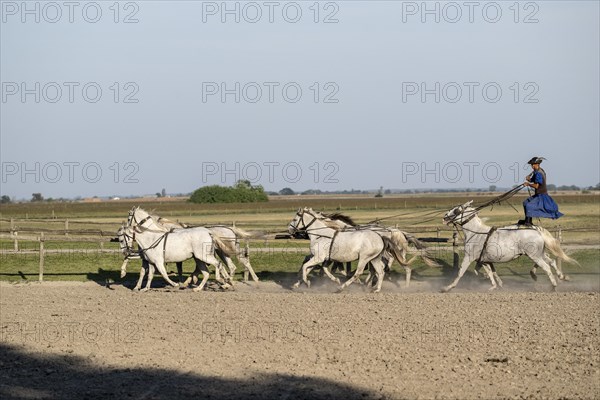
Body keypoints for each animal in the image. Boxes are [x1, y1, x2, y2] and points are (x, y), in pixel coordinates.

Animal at [440, 202, 576, 292]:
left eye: (456, 210)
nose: (445, 217)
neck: (476, 233)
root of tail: (535, 229)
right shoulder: (484, 260)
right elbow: (491, 273)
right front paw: (494, 286)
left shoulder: (469, 257)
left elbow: (460, 272)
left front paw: (447, 287)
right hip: (539, 254)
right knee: (551, 261)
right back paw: (561, 277)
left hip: (534, 255)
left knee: (547, 267)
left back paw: (553, 286)